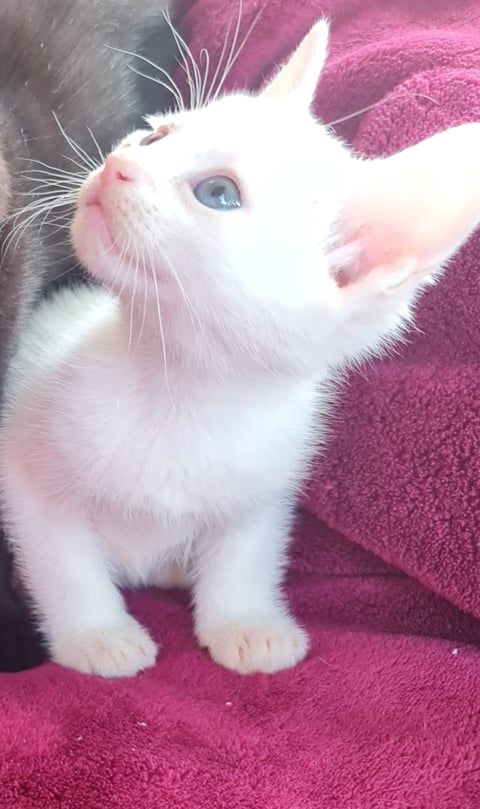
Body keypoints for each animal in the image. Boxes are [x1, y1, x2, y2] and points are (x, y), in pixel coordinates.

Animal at [0, 20, 480, 676]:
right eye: (156, 135)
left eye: (219, 193)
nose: (118, 162)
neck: (179, 390)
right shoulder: (26, 472)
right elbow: (64, 564)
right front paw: (97, 635)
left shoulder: (263, 486)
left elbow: (245, 557)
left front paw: (246, 623)